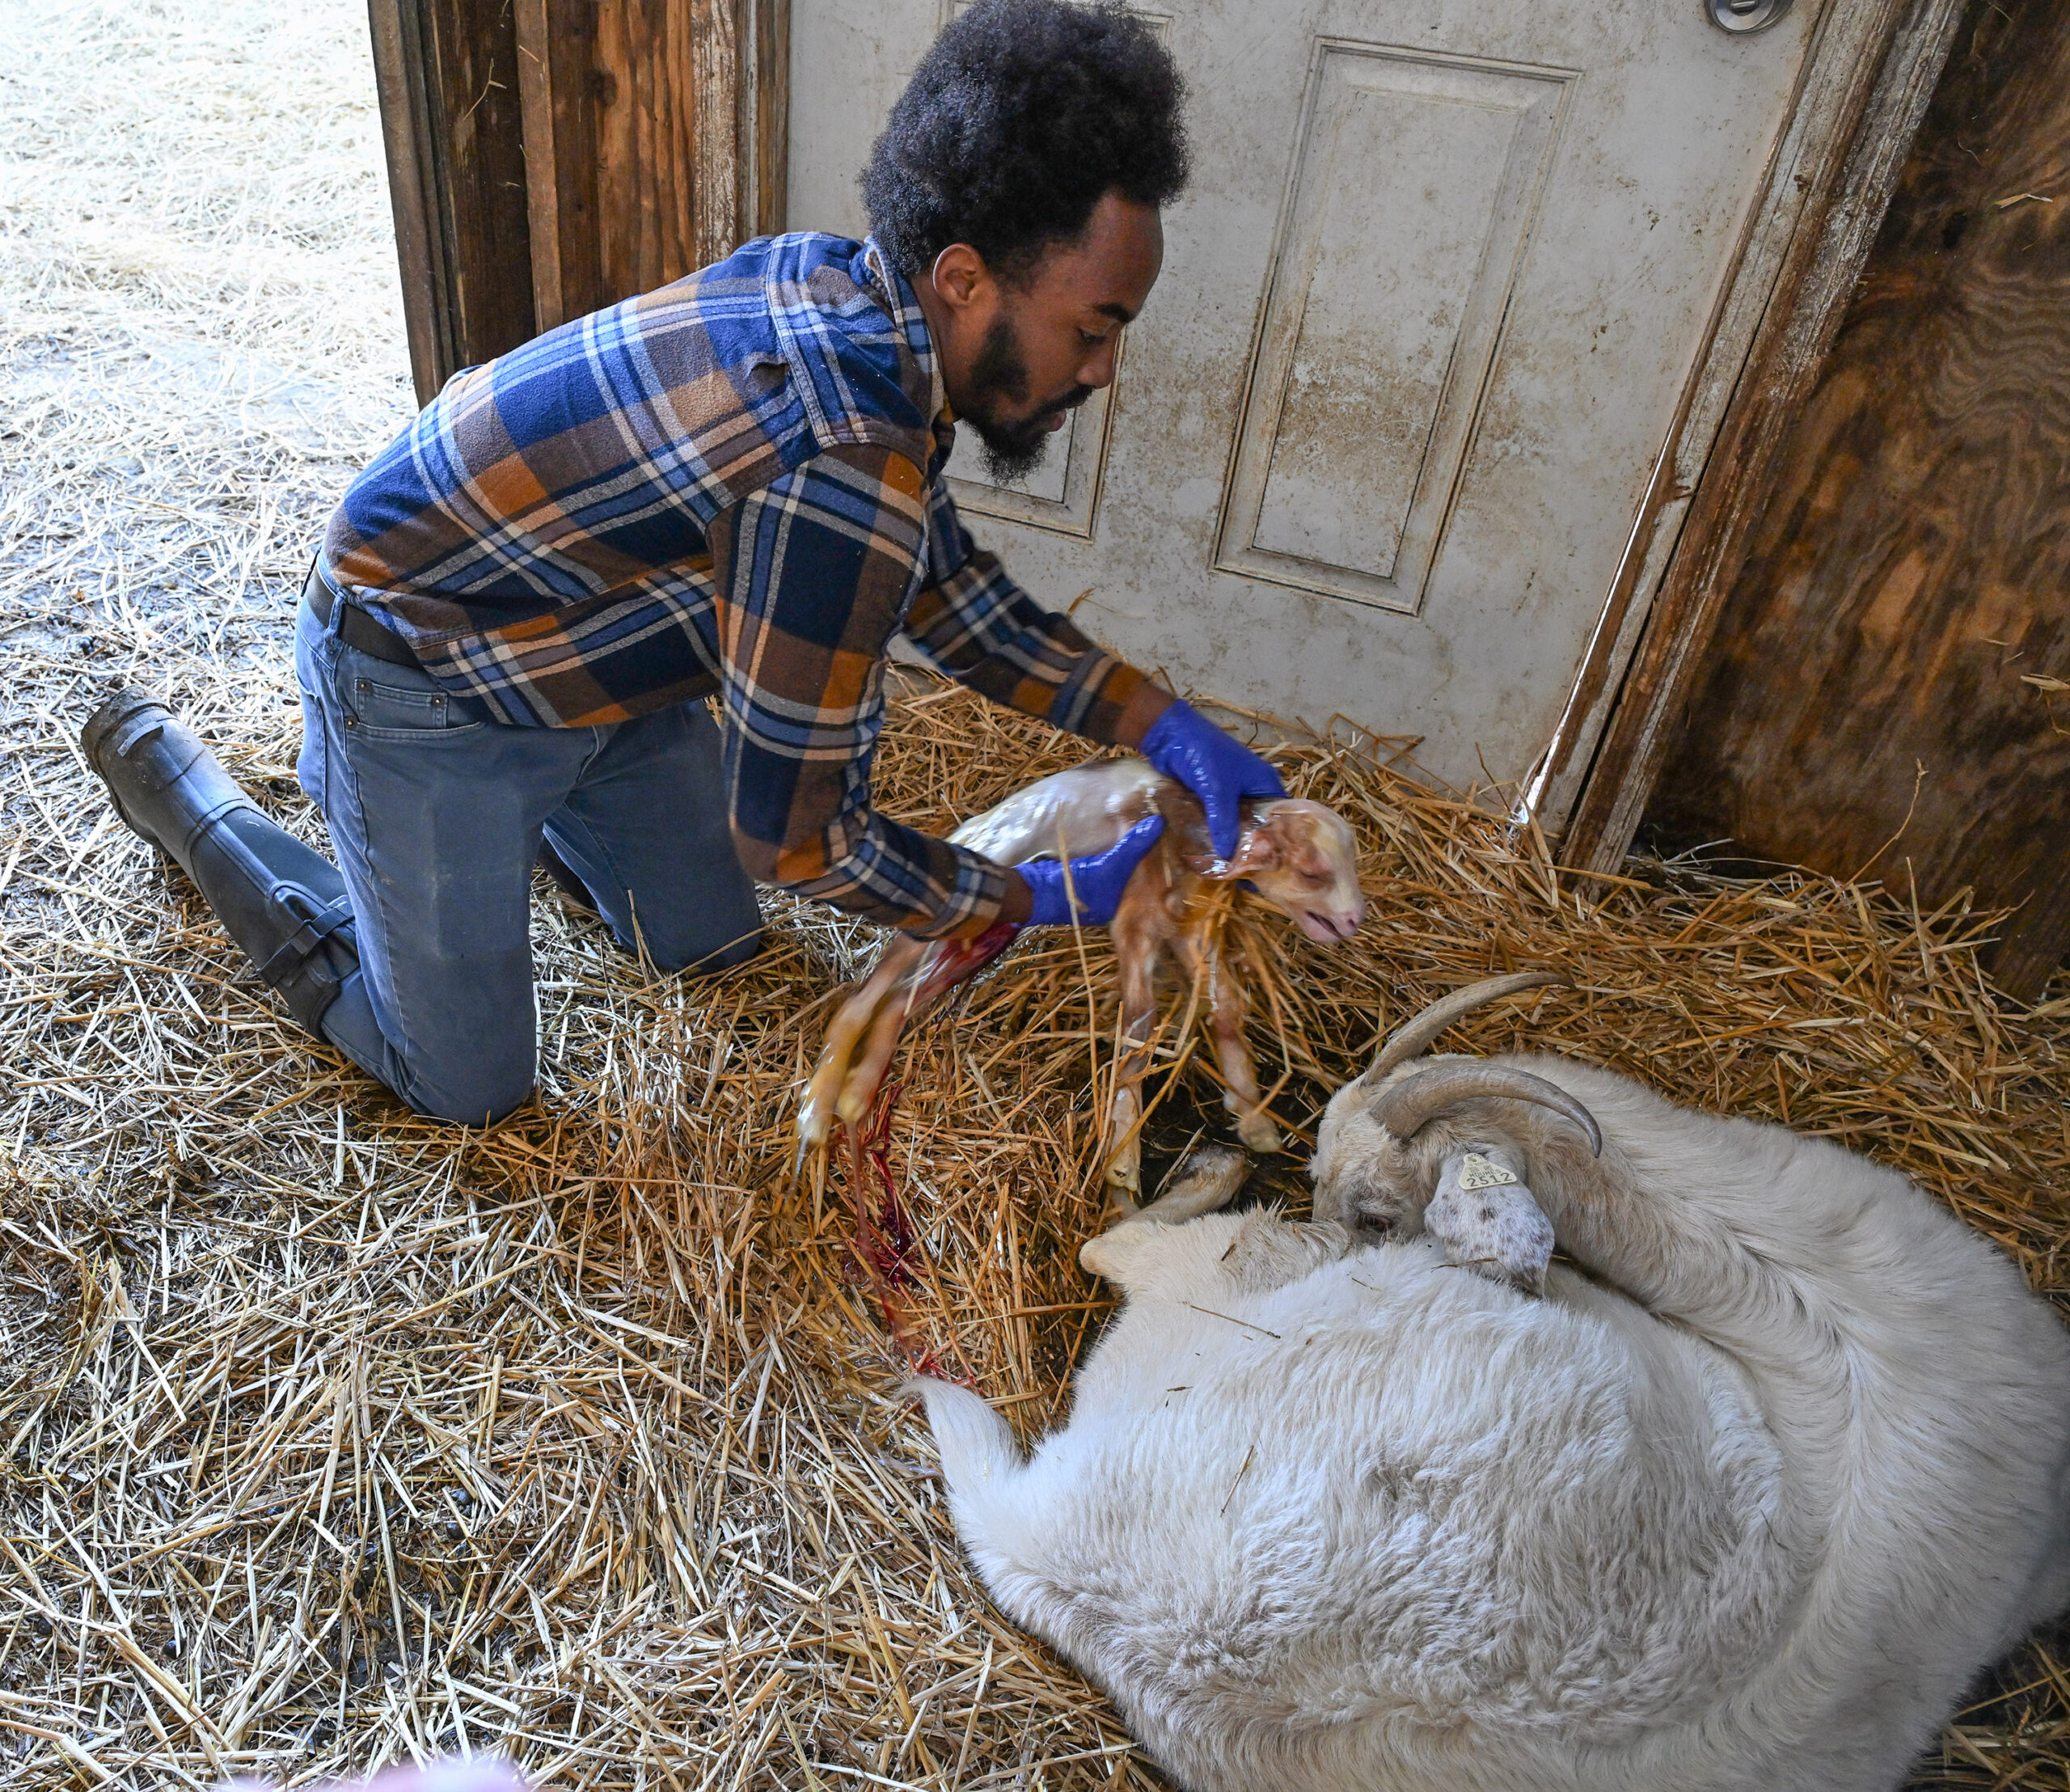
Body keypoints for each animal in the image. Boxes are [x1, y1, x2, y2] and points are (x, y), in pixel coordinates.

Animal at [796, 755, 1364, 1192]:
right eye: (1312, 872)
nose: (1353, 920)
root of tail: (970, 828)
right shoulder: (1134, 921)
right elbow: (1139, 1024)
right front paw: (1123, 1160)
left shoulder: (1192, 929)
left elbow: (1225, 1006)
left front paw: (1254, 1119)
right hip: (934, 912)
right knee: (863, 998)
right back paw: (818, 1113)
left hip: (984, 933)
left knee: (899, 1001)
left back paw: (857, 1093)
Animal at [911, 974, 2070, 1792]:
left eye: (1376, 1210)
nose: (1328, 1225)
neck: (1802, 1302)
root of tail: (1043, 1539)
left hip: (1230, 1284)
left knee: (1114, 1248)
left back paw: (1211, 1166)